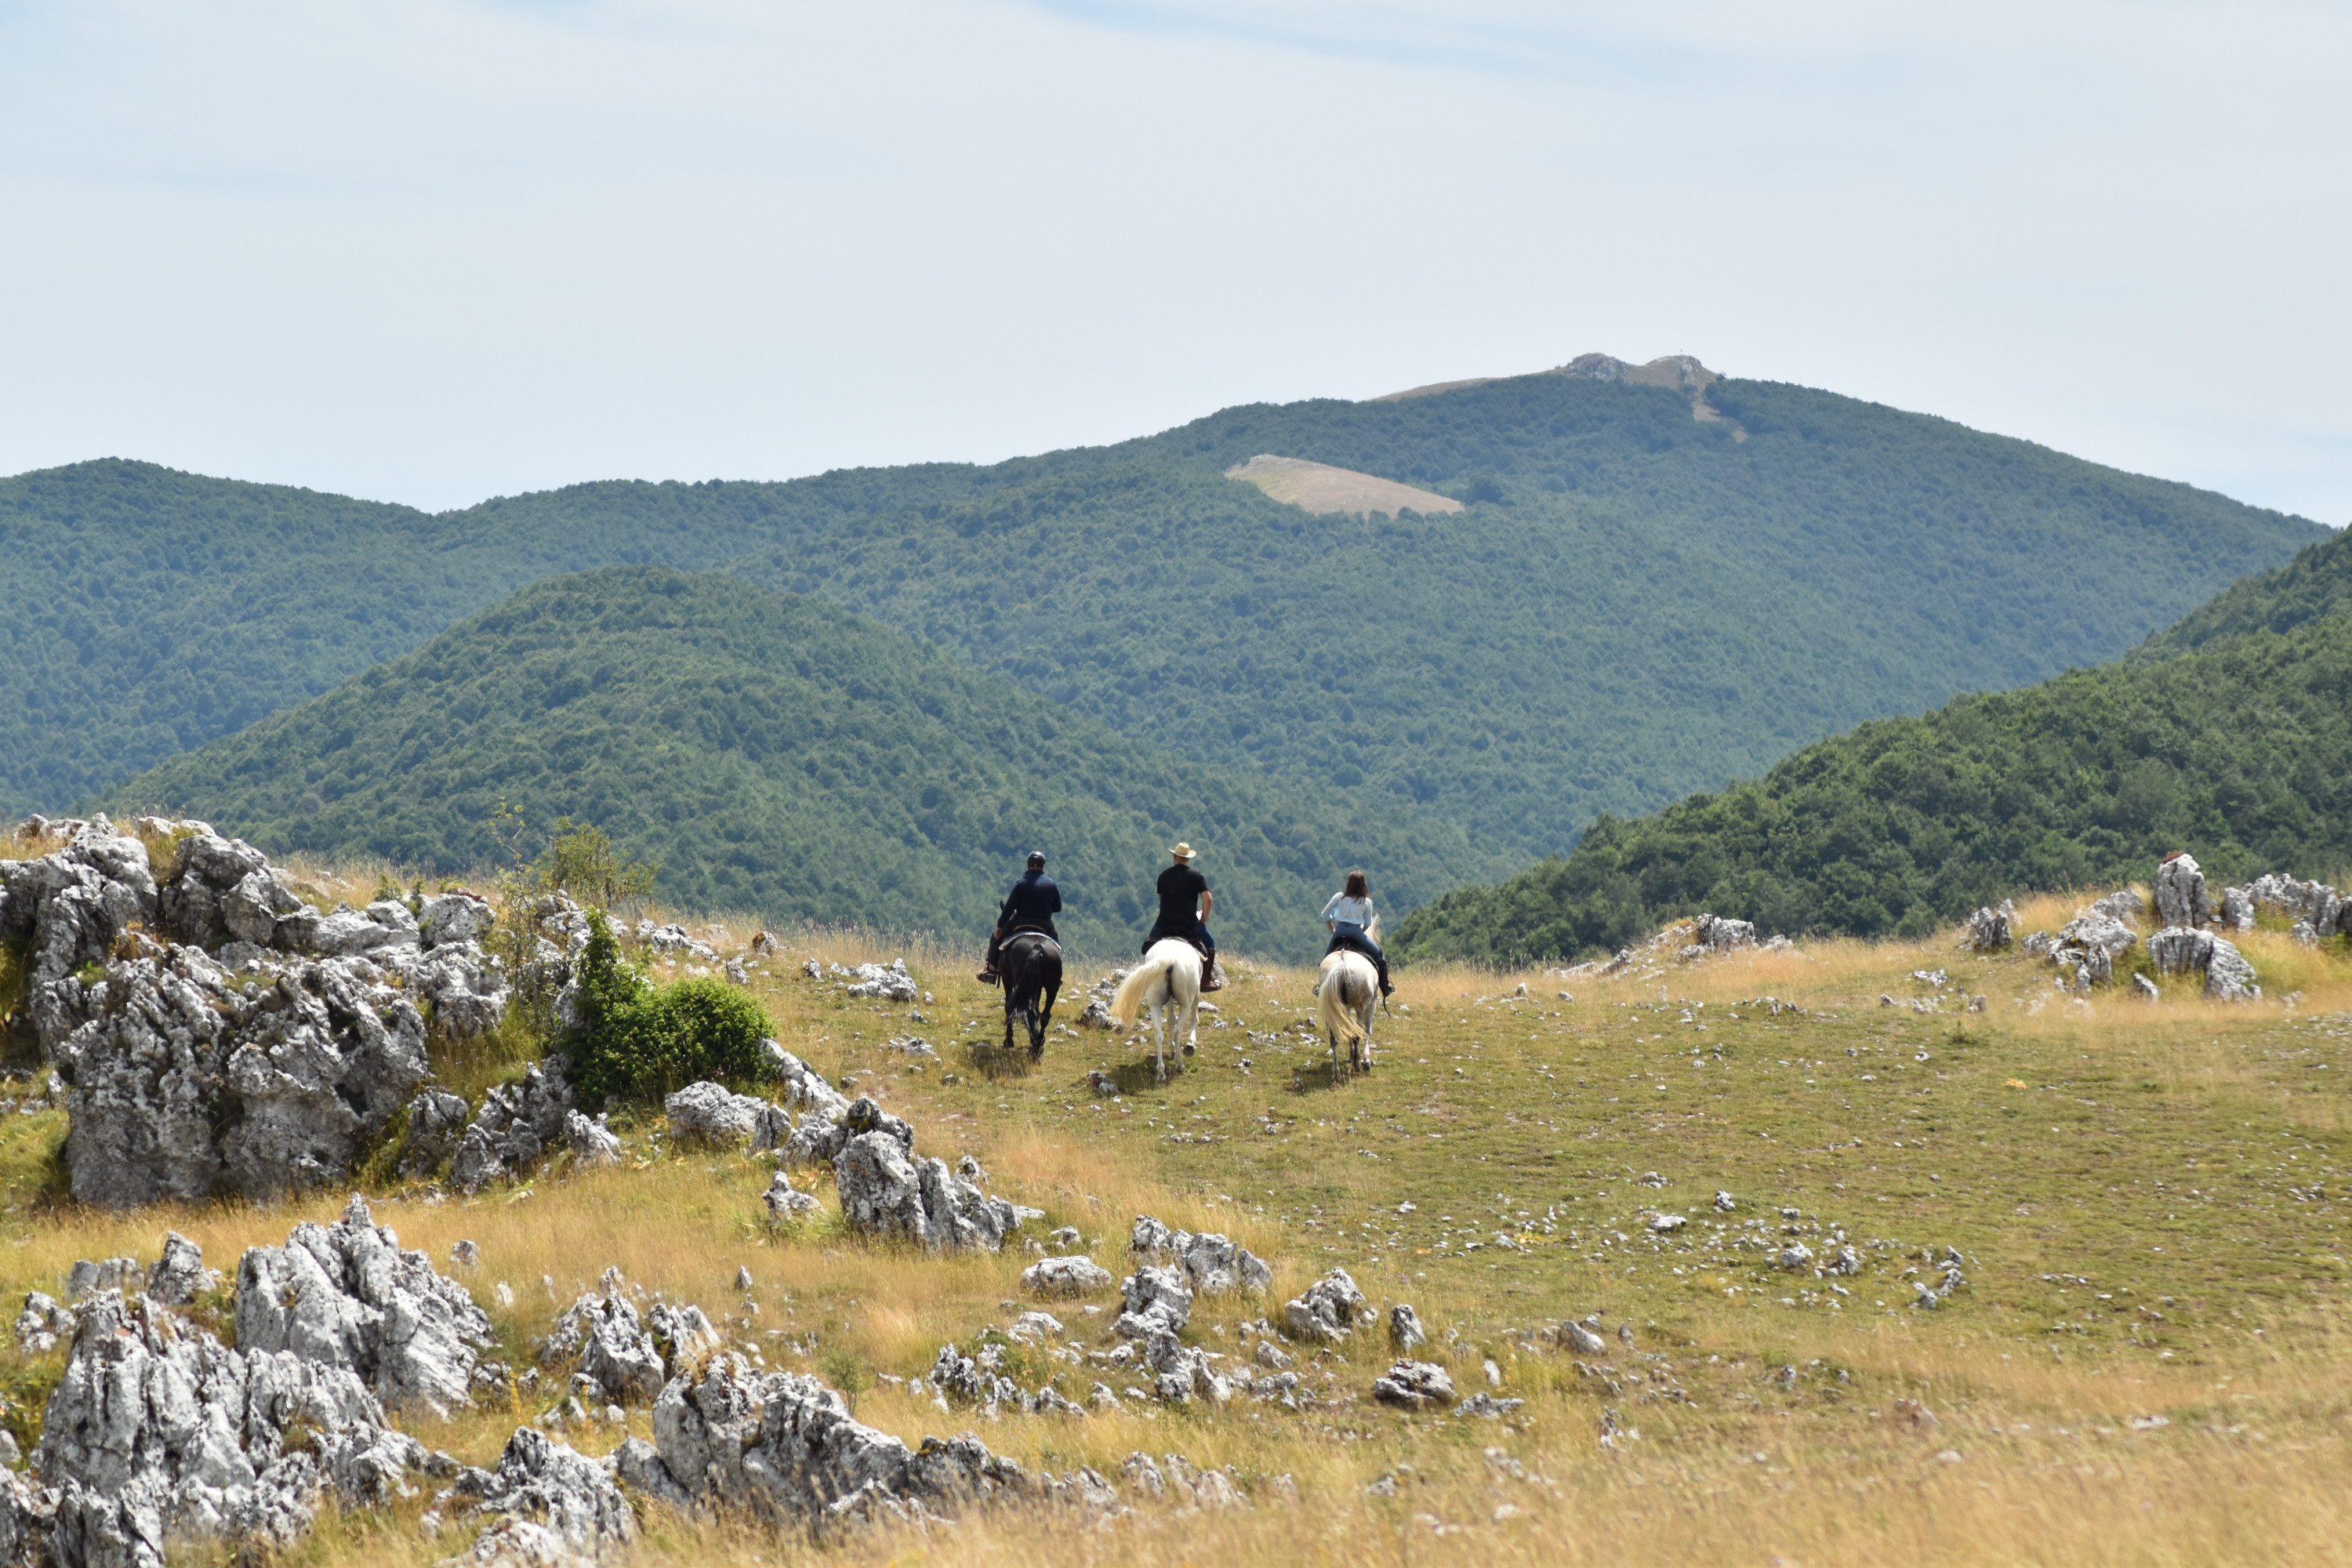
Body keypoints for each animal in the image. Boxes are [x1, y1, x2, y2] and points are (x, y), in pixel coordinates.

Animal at [1000, 928, 1063, 1059]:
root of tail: (1038, 948)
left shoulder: (1006, 980)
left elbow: (1008, 1007)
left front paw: (1008, 1040)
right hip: (1052, 987)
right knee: (1043, 1015)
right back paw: (1037, 1046)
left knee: (1025, 1011)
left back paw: (1034, 1046)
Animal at [1110, 938, 1202, 1084]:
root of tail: (1170, 959)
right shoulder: (1196, 993)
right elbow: (1193, 1019)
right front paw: (1190, 1045)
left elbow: (1170, 1019)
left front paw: (1172, 1050)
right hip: (1186, 1002)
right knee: (1178, 1030)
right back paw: (1180, 1064)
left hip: (1155, 1004)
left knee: (1159, 1034)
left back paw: (1161, 1072)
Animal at [1315, 948, 1378, 1082]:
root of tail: (1342, 964)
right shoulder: (1372, 1003)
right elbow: (1367, 1032)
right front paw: (1366, 1061)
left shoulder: (1346, 1008)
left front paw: (1350, 1056)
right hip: (1361, 1007)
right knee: (1357, 1035)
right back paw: (1357, 1065)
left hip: (1333, 1009)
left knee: (1333, 1040)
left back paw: (1336, 1073)